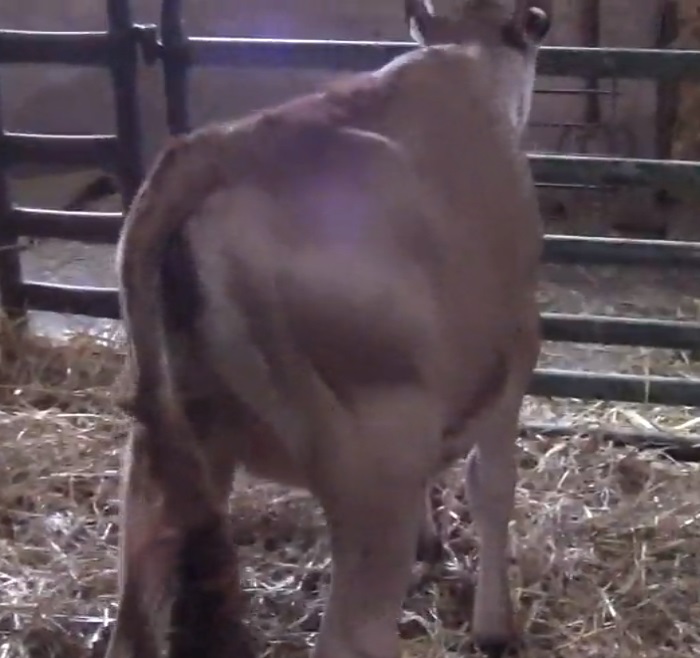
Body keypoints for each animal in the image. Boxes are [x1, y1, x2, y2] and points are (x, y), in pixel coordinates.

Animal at [107, 1, 552, 657]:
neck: (470, 58)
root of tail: (216, 149)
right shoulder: (515, 352)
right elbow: (491, 485)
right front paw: (495, 627)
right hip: (376, 461)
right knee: (352, 634)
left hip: (165, 454)